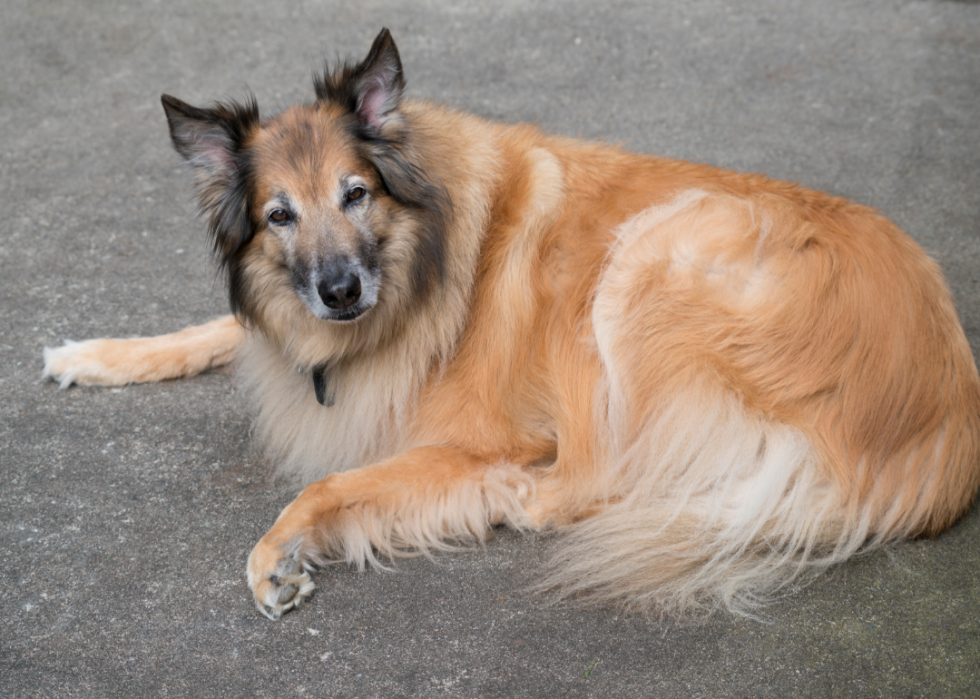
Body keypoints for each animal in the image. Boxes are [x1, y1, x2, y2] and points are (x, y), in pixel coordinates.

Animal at [44, 27, 980, 620]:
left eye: (355, 194)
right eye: (279, 215)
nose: (341, 291)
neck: (425, 252)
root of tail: (943, 426)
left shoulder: (466, 428)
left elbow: (332, 483)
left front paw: (281, 551)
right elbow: (214, 328)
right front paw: (93, 353)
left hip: (645, 261)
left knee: (593, 477)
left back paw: (514, 492)